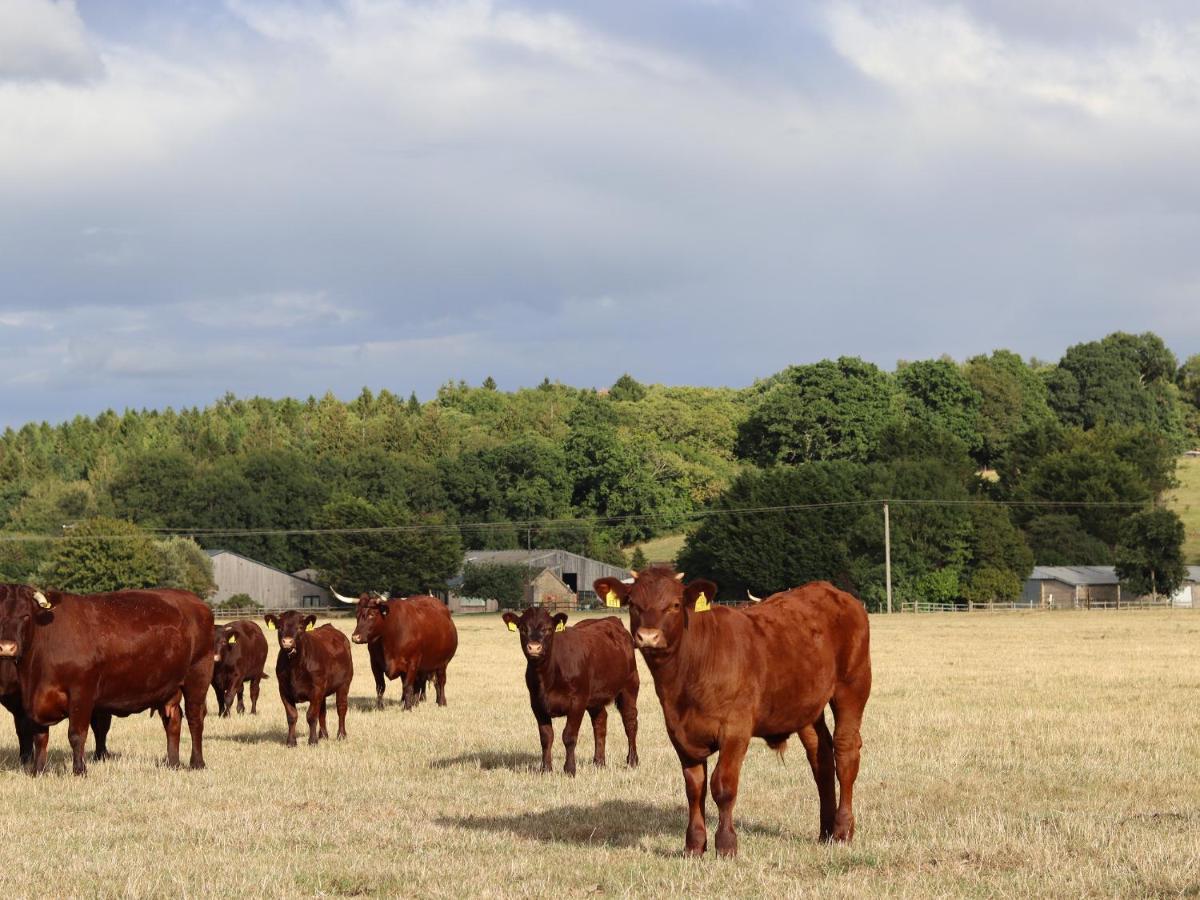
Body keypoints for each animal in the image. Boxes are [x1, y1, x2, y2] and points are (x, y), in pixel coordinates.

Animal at [0, 585, 211, 777]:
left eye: (26, 615)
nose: (7, 648)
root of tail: (194, 600)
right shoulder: (34, 701)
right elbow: (40, 737)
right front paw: (38, 770)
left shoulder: (81, 693)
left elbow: (76, 734)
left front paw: (79, 770)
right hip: (169, 687)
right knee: (173, 720)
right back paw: (173, 763)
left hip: (198, 674)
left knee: (195, 718)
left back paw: (197, 763)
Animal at [264, 614, 350, 748]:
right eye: (280, 627)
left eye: (300, 627)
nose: (287, 641)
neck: (295, 666)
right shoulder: (283, 690)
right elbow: (292, 716)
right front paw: (291, 742)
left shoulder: (316, 690)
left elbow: (311, 716)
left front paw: (312, 741)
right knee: (323, 712)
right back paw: (323, 735)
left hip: (344, 684)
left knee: (341, 708)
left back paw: (341, 735)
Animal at [501, 609, 643, 777]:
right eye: (523, 629)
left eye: (548, 629)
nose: (534, 648)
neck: (547, 676)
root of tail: (612, 620)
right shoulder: (537, 704)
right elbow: (546, 737)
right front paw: (545, 769)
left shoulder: (577, 701)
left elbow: (569, 736)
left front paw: (569, 769)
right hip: (595, 698)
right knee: (600, 722)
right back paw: (599, 762)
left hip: (629, 687)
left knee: (630, 722)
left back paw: (632, 760)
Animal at [597, 571, 873, 859]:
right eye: (633, 604)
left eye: (674, 604)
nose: (648, 637)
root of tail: (834, 592)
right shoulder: (678, 732)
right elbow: (694, 788)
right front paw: (694, 845)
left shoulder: (735, 729)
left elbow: (723, 786)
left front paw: (726, 844)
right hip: (806, 707)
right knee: (821, 757)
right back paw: (825, 831)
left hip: (852, 686)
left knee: (845, 752)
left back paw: (842, 830)